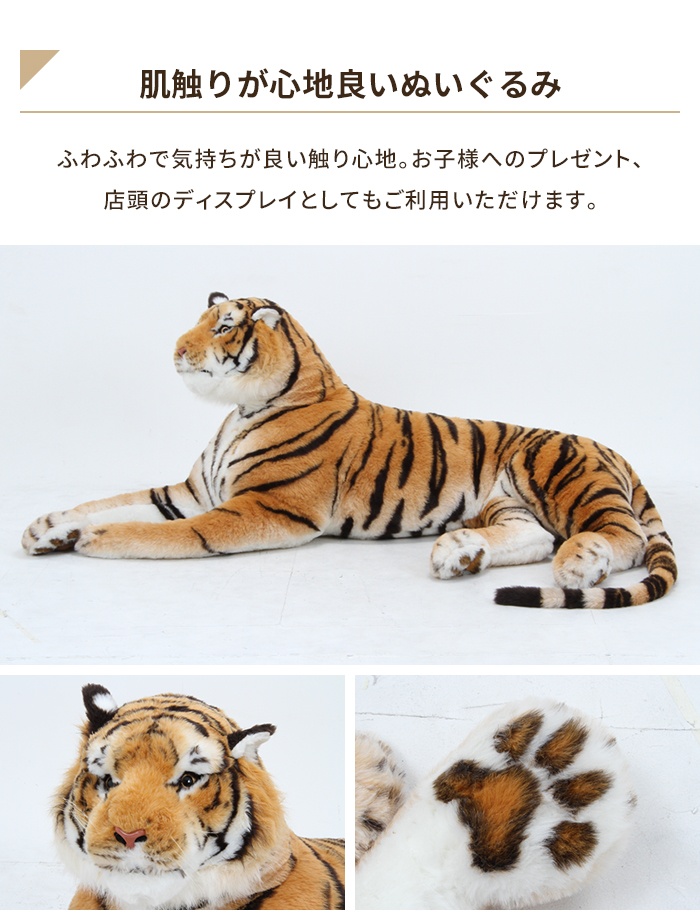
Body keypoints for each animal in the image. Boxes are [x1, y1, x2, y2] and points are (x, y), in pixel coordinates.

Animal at [22, 292, 677, 609]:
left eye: (223, 326)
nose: (176, 350)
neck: (241, 410)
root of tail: (613, 450)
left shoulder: (259, 507)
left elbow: (159, 532)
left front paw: (94, 540)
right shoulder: (187, 493)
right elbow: (113, 500)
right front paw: (48, 528)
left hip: (555, 469)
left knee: (620, 535)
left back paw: (579, 561)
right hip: (506, 501)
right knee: (533, 535)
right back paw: (460, 552)